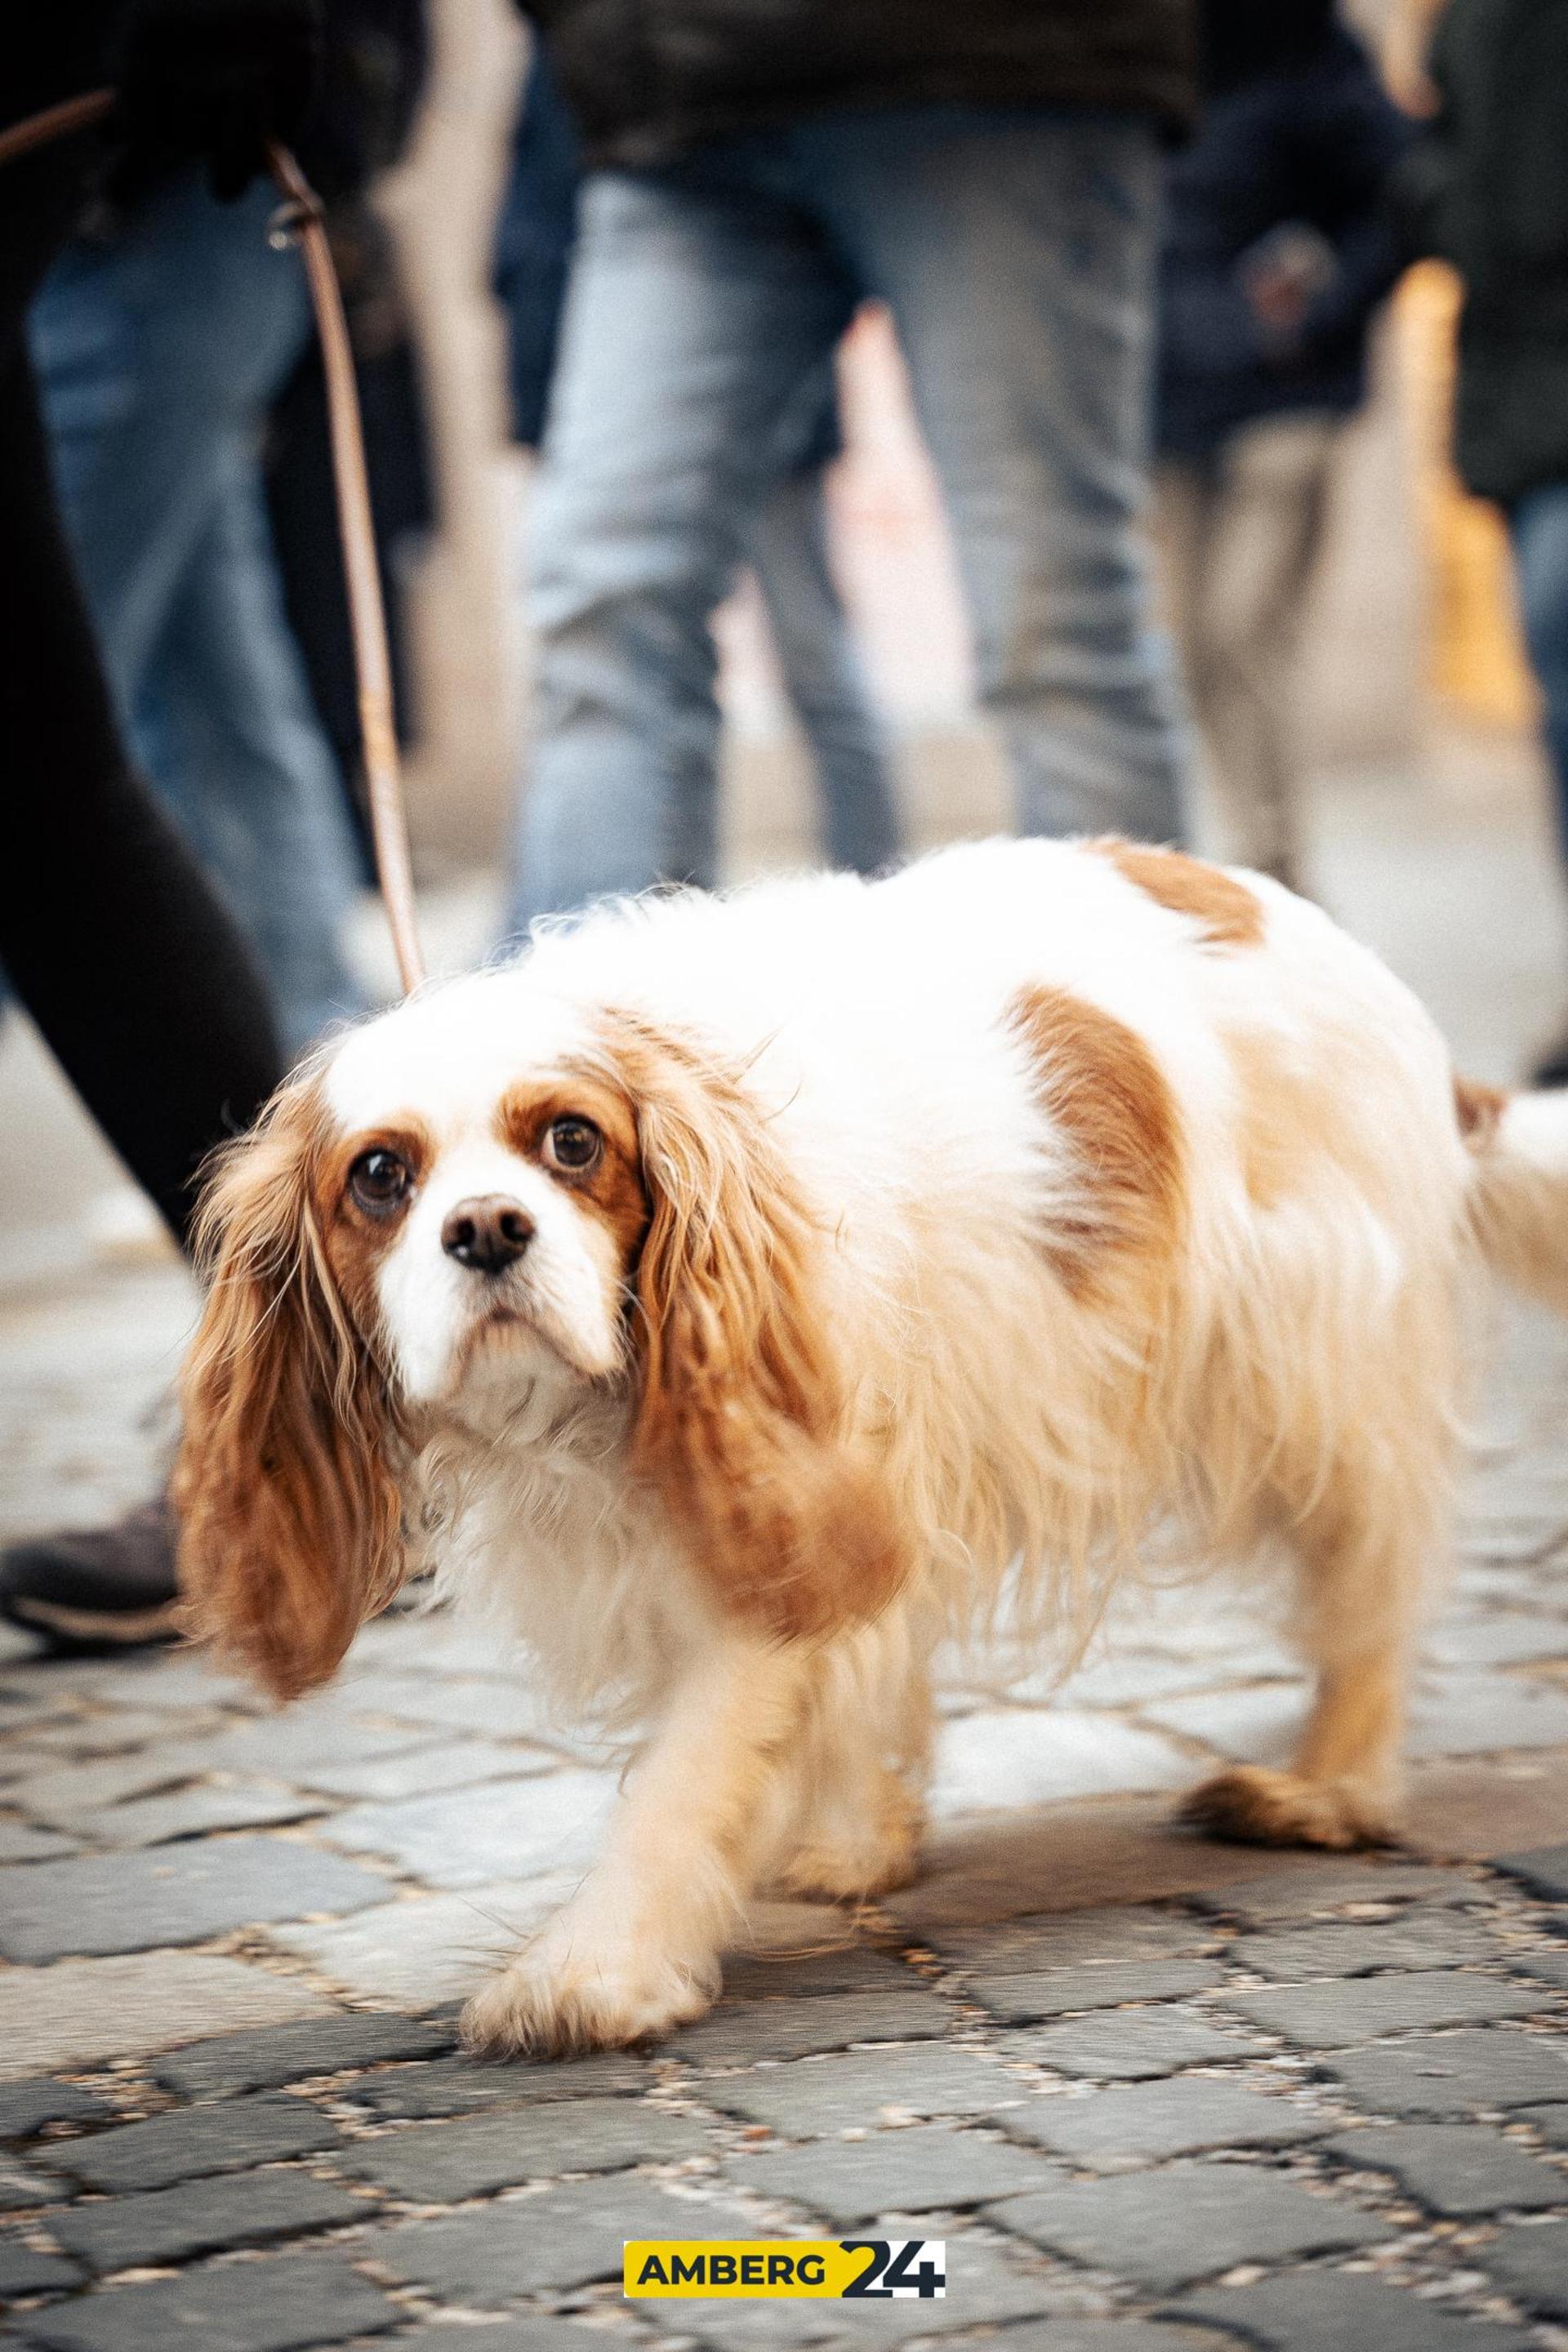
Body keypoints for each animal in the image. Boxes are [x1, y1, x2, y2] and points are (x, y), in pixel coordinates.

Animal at [172, 837, 1568, 2051]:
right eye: (380, 1177)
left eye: (571, 1143)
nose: (486, 1231)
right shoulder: (829, 1496)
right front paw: (853, 1838)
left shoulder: (784, 1487)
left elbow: (686, 1778)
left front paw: (593, 1969)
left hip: (1317, 1371)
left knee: (1372, 1587)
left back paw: (1328, 1788)